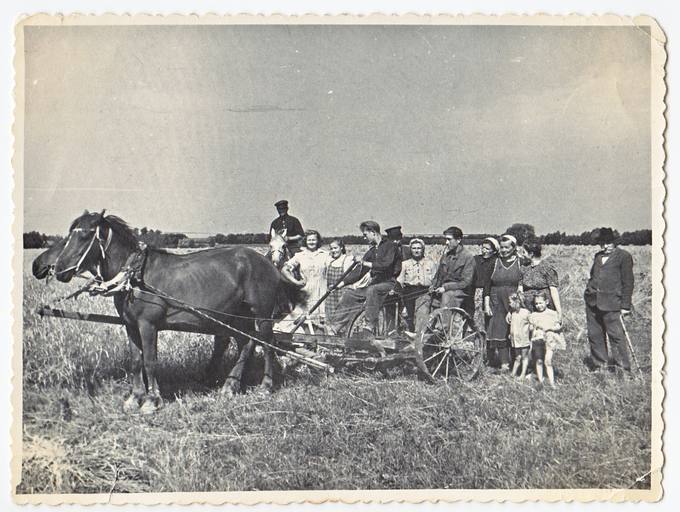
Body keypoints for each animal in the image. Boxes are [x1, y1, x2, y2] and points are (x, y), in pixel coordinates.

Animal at [52, 210, 286, 414]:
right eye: (70, 234)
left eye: (85, 235)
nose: (58, 269)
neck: (134, 275)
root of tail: (268, 263)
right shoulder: (130, 325)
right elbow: (136, 361)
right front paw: (134, 398)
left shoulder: (147, 325)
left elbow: (149, 361)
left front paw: (151, 400)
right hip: (236, 316)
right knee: (245, 344)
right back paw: (231, 385)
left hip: (261, 314)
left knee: (266, 344)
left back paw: (265, 386)